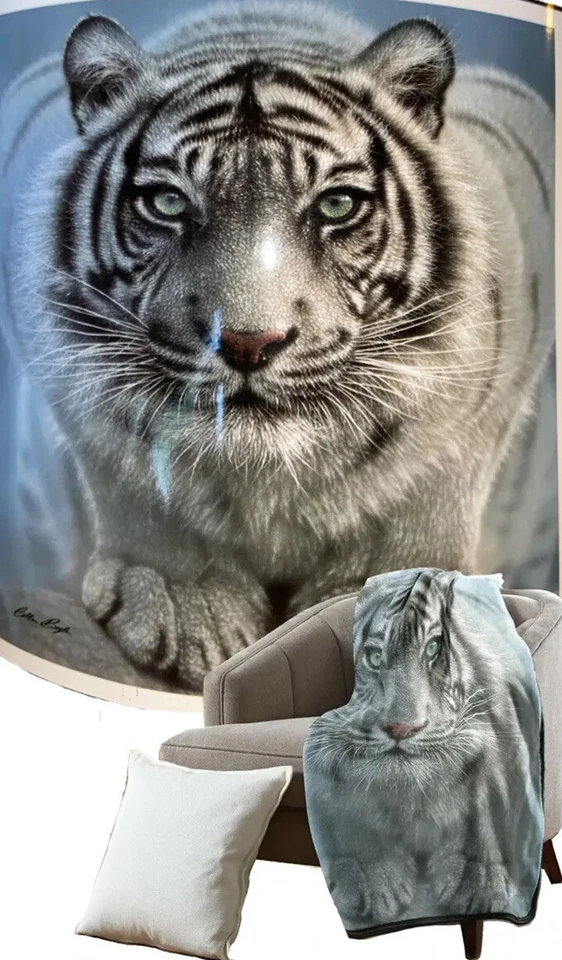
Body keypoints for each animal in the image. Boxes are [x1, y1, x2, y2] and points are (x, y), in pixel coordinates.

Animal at [0, 1, 555, 692]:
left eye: (337, 205)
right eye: (168, 202)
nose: (247, 341)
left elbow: (433, 477)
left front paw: (394, 595)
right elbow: (128, 464)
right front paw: (178, 597)